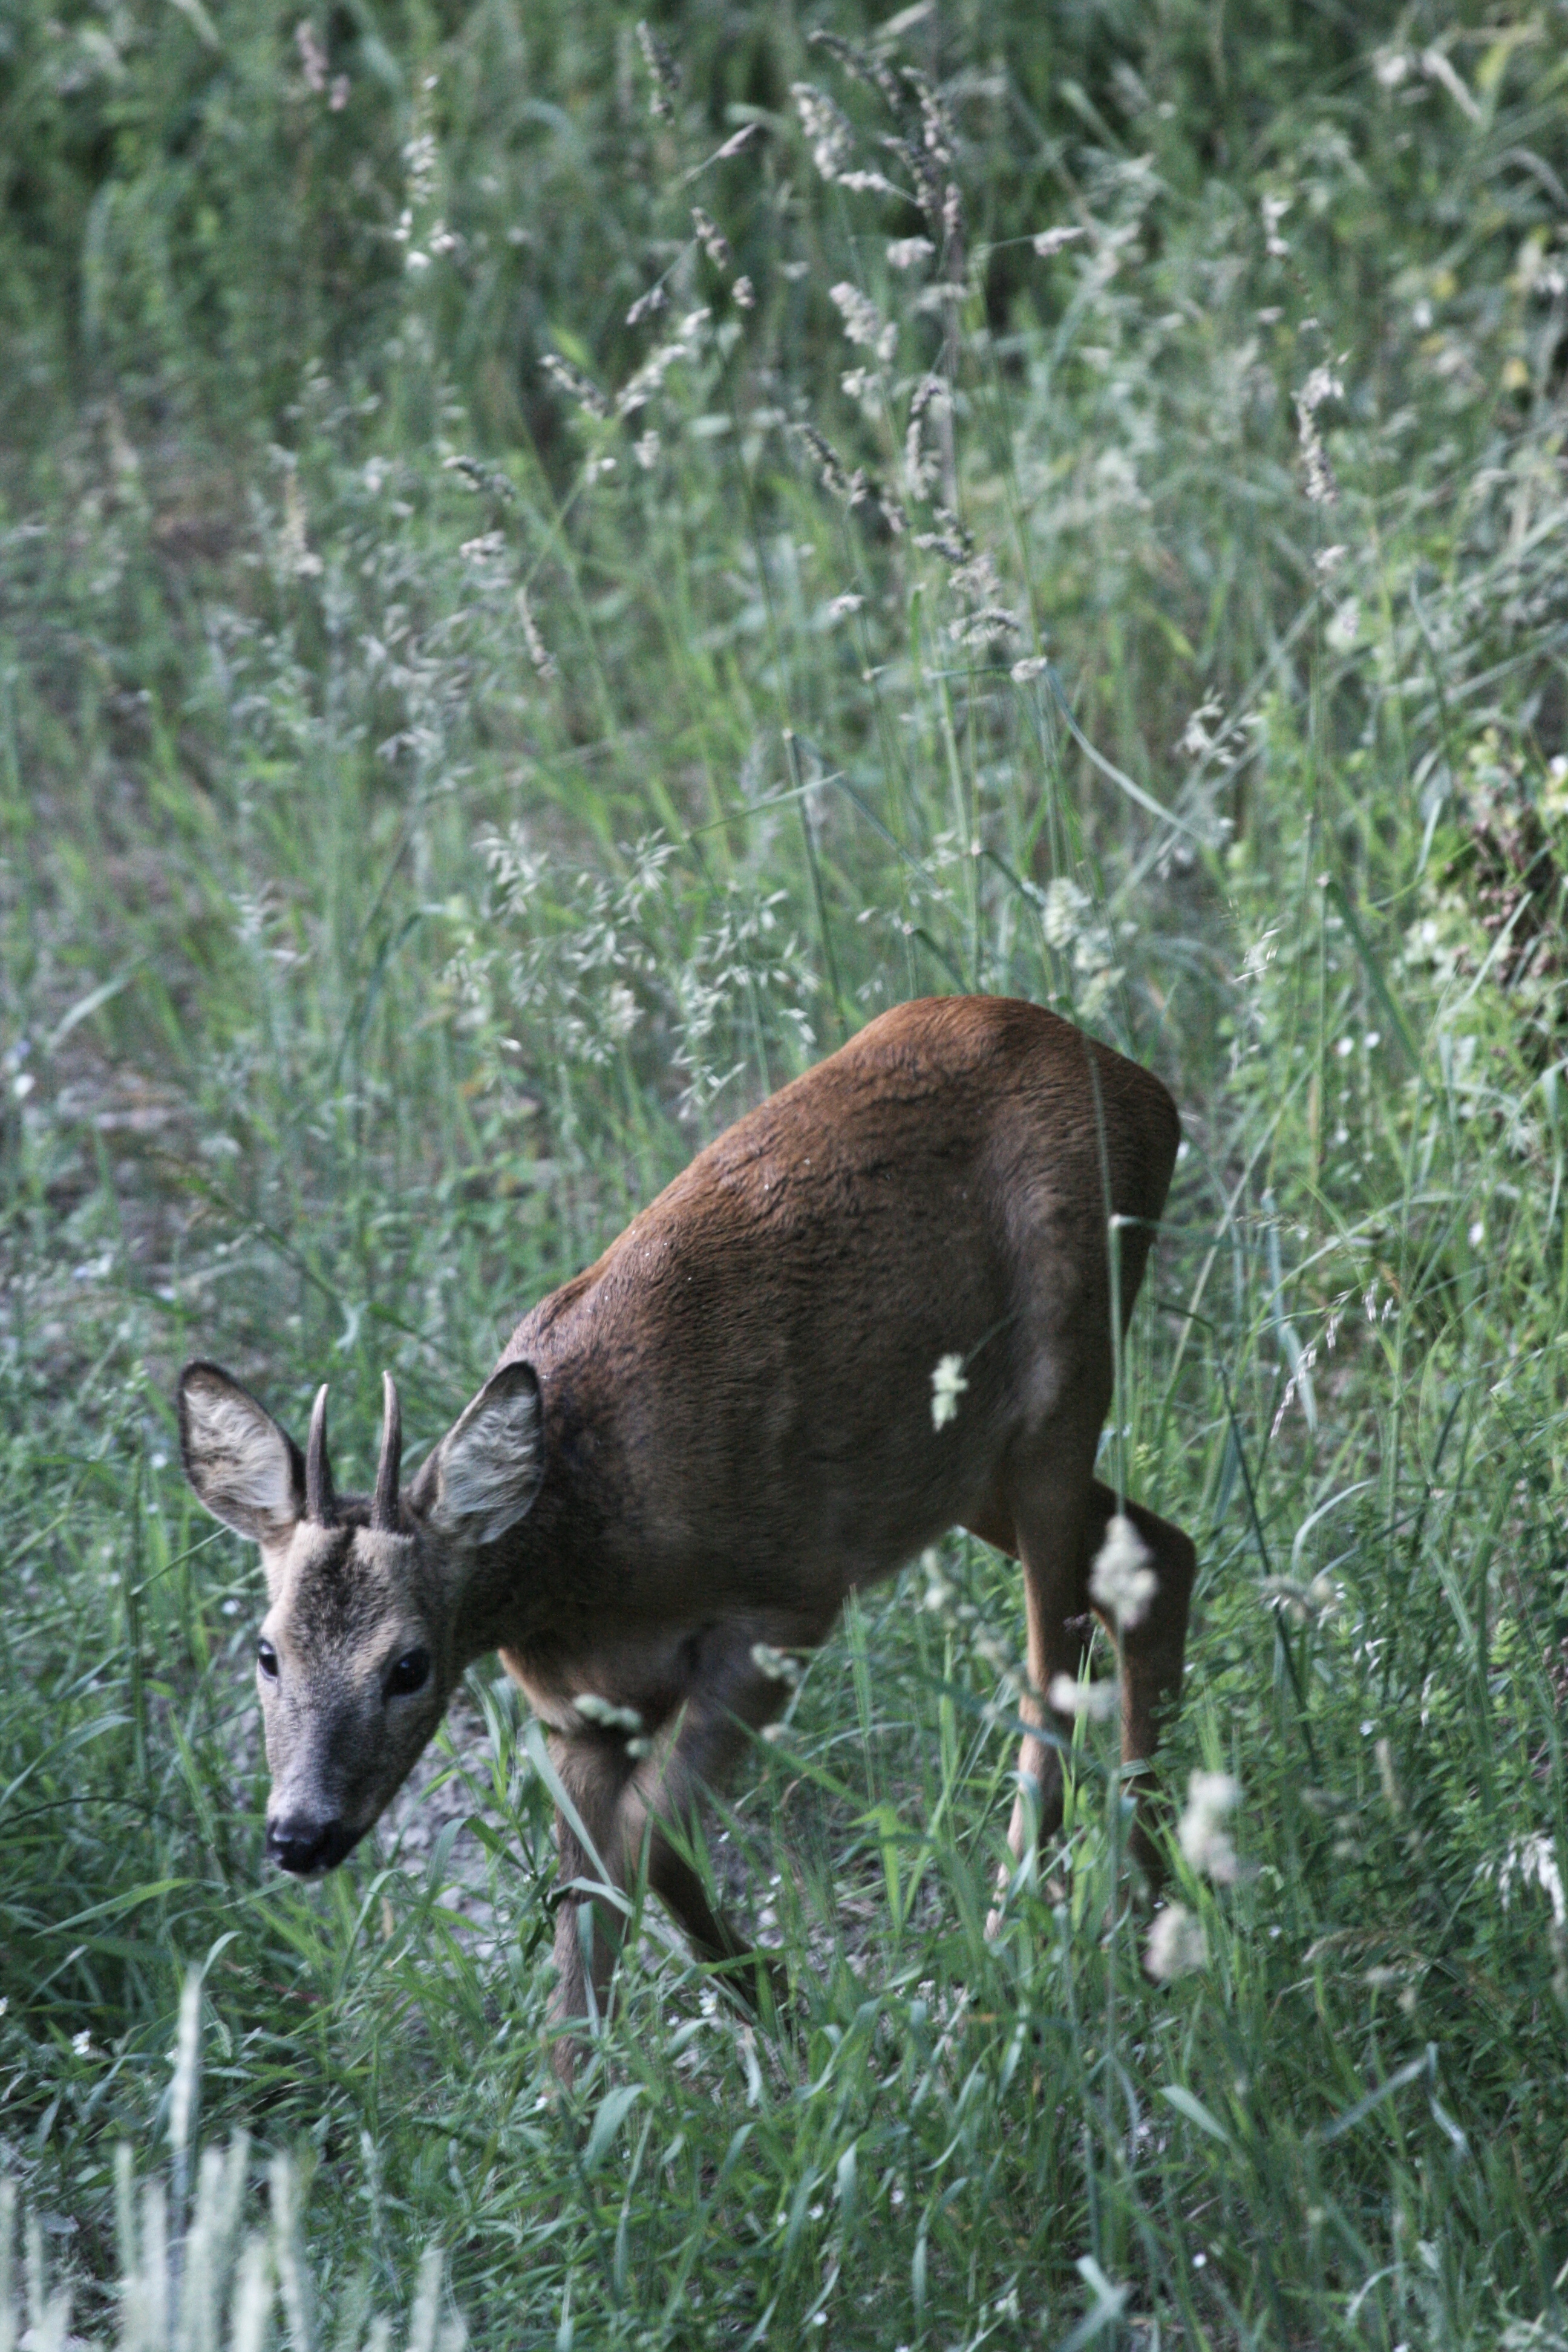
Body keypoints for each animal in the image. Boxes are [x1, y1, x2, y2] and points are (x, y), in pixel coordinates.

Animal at [177, 992, 1189, 2079]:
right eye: (266, 1650)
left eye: (409, 1666)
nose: (299, 1833)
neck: (583, 1553)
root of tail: (1145, 1086)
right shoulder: (576, 1715)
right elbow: (592, 1910)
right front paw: (607, 2084)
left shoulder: (783, 1604)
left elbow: (647, 1847)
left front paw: (787, 2015)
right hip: (963, 1465)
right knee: (1158, 1555)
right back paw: (1149, 1905)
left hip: (1065, 1377)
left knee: (1059, 1663)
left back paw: (1023, 1958)